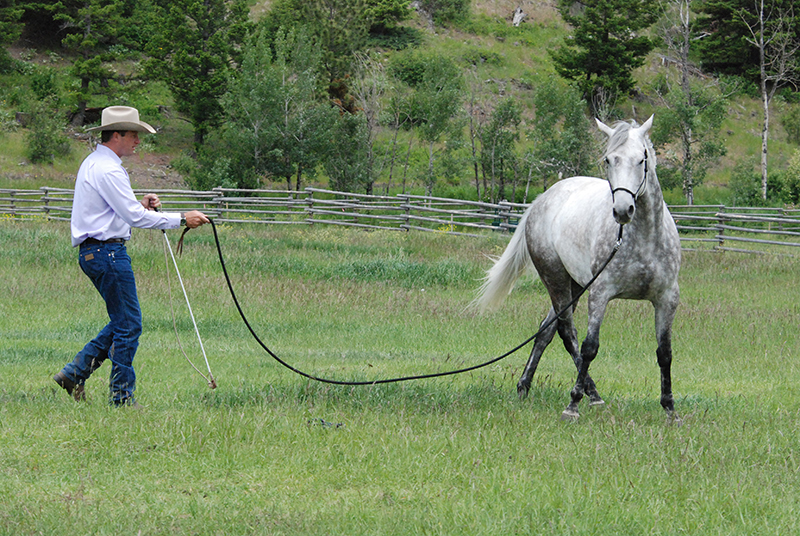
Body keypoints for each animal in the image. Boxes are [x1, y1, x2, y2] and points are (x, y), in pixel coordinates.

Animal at [474, 116, 681, 420]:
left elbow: (664, 352)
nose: (623, 210)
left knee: (546, 330)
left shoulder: (667, 299)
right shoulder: (600, 294)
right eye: (608, 160)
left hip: (574, 285)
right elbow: (590, 347)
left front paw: (670, 409)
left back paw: (526, 386)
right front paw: (572, 405)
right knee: (566, 333)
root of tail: (544, 198)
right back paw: (589, 394)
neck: (643, 237)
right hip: (557, 281)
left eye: (641, 159)